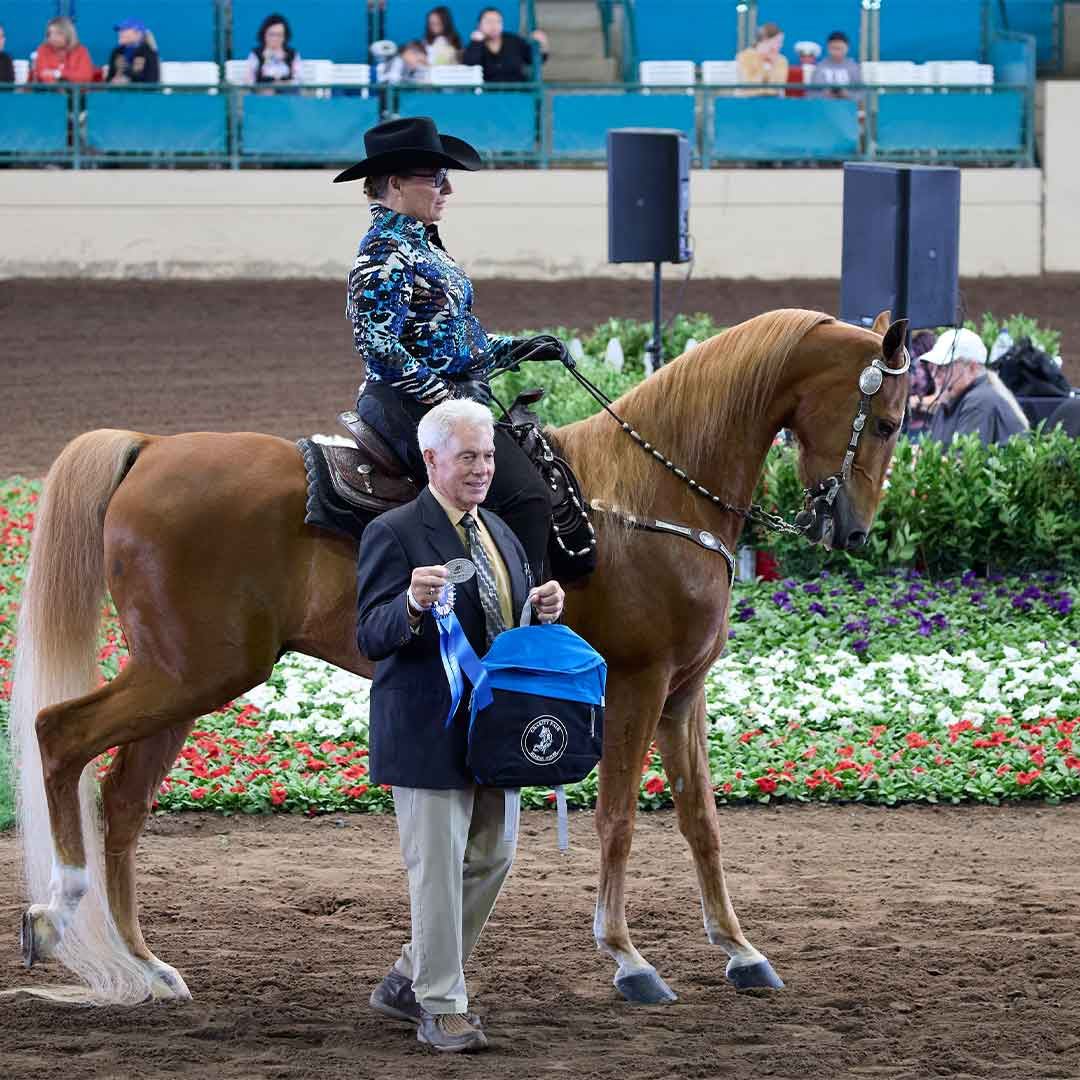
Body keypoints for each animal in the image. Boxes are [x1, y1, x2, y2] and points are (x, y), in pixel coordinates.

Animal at [8, 308, 907, 1006]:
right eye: (890, 420)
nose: (855, 530)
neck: (647, 496)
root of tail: (151, 448)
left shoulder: (685, 694)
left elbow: (701, 823)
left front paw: (741, 950)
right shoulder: (637, 687)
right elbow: (619, 820)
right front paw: (627, 959)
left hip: (187, 680)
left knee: (123, 798)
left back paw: (145, 966)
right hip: (190, 672)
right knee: (60, 736)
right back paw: (58, 915)